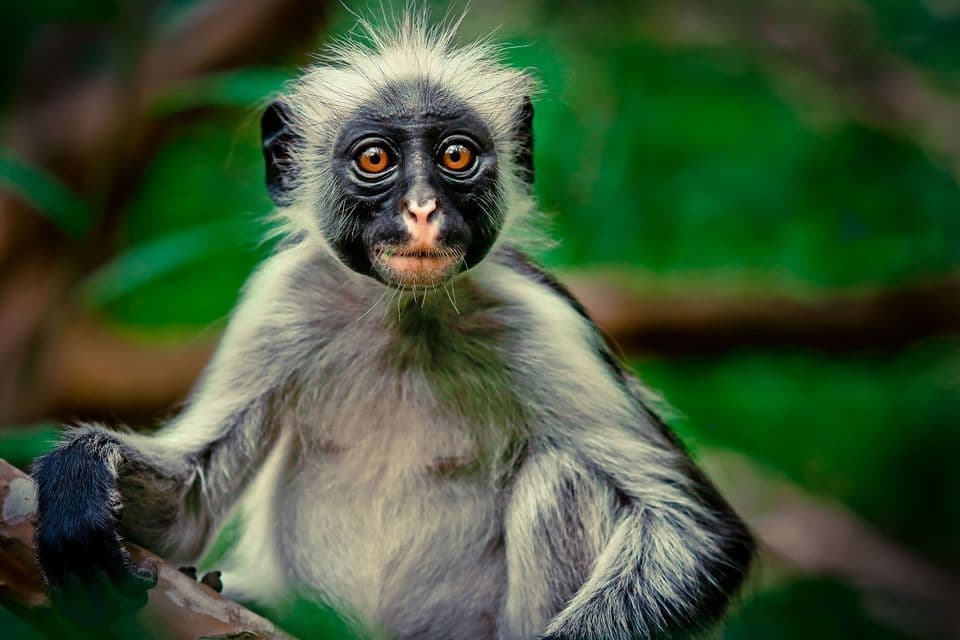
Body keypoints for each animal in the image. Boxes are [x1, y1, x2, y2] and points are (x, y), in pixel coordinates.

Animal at [32, 14, 754, 640]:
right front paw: (78, 476)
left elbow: (701, 534)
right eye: (375, 160)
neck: (407, 319)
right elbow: (185, 511)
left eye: (457, 156)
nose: (423, 209)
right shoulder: (286, 300)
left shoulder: (540, 319)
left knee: (566, 478)